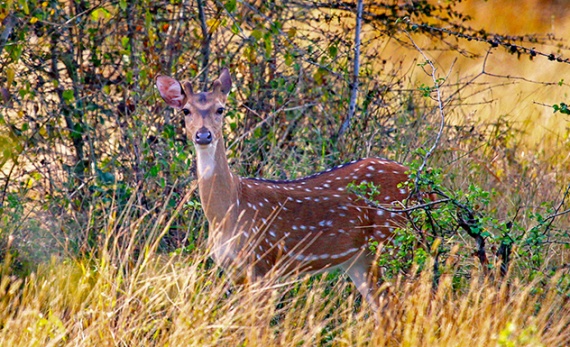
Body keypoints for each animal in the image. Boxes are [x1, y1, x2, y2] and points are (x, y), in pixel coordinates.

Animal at [155, 68, 410, 310]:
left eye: (220, 109)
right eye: (186, 111)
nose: (203, 135)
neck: (228, 211)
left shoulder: (262, 262)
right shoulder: (236, 271)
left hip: (391, 240)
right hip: (359, 259)